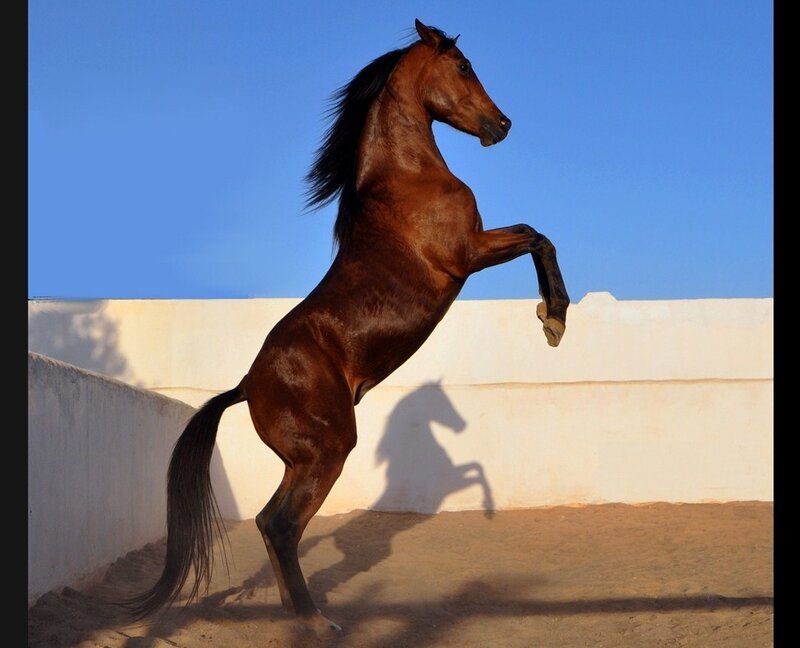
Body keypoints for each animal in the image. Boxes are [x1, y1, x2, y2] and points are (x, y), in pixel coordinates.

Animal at [125, 18, 569, 635]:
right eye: (463, 66)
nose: (501, 125)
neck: (408, 179)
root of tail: (245, 385)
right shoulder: (468, 254)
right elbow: (536, 234)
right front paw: (554, 318)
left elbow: (536, 233)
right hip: (329, 450)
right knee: (281, 526)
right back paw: (317, 623)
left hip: (303, 460)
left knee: (268, 522)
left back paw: (299, 613)